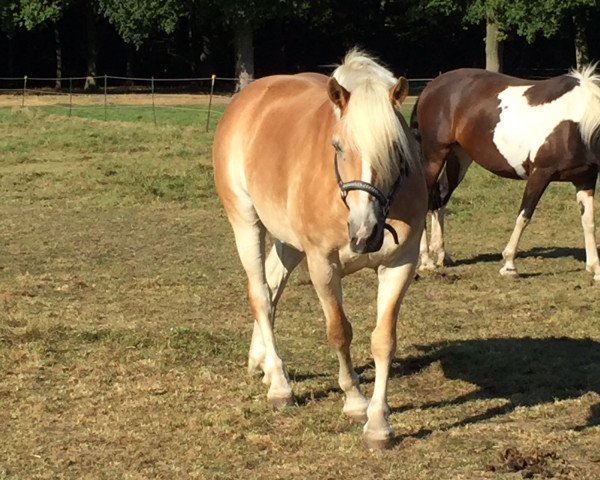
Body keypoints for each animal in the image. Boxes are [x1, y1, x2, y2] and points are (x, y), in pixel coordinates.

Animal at [211, 50, 426, 448]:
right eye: (338, 146)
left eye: (395, 148)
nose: (365, 232)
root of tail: (248, 98)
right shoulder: (322, 264)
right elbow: (339, 331)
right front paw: (355, 401)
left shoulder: (400, 264)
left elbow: (383, 340)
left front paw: (379, 423)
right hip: (246, 221)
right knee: (260, 295)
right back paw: (279, 384)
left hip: (288, 241)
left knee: (273, 287)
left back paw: (262, 364)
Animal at [412, 65, 600, 280]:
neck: (577, 124)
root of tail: (431, 86)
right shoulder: (540, 175)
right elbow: (524, 216)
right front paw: (509, 265)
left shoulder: (585, 179)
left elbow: (589, 222)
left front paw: (595, 268)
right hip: (434, 156)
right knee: (427, 199)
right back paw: (426, 260)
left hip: (458, 157)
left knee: (441, 197)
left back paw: (442, 255)